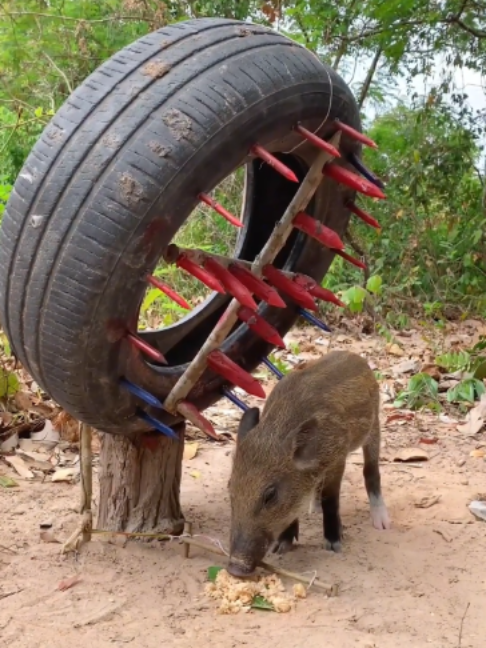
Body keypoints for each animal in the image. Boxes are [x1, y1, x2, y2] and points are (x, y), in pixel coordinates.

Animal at [227, 350, 390, 577]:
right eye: (230, 488)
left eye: (270, 495)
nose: (236, 567)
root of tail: (355, 356)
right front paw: (282, 547)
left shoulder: (338, 458)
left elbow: (331, 499)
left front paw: (334, 545)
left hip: (374, 425)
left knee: (371, 470)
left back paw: (381, 523)